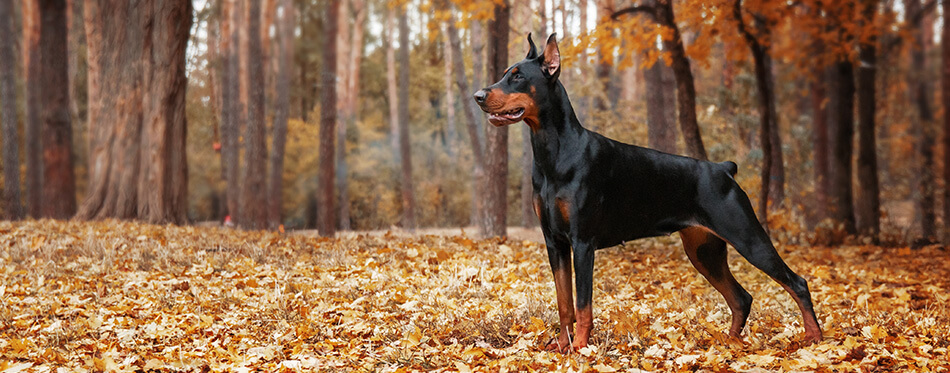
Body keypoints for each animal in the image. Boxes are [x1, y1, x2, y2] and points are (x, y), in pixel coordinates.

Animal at [472, 32, 820, 352]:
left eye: (518, 76)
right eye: (505, 73)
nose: (478, 96)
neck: (553, 153)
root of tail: (723, 168)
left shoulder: (582, 242)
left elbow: (583, 305)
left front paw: (581, 350)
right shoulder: (554, 242)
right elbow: (564, 302)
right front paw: (561, 347)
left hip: (747, 236)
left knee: (797, 283)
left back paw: (814, 339)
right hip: (703, 250)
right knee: (741, 298)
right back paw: (727, 344)